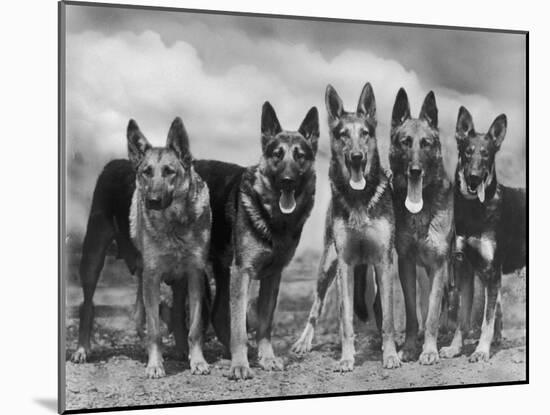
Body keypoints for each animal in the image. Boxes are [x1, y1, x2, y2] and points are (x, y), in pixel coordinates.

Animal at [221, 103, 320, 380]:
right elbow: (239, 328)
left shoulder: (273, 276)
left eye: (300, 156)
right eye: (277, 155)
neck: (274, 219)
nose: (287, 180)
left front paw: (267, 358)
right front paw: (240, 365)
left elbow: (265, 322)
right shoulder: (241, 273)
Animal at [294, 83, 402, 370]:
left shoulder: (384, 262)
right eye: (343, 135)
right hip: (326, 267)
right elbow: (345, 320)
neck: (359, 198)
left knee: (378, 307)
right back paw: (303, 341)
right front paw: (346, 358)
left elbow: (388, 317)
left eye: (365, 133)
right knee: (316, 307)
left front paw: (390, 355)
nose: (356, 157)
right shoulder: (344, 265)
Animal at [440, 109, 528, 362]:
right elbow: (462, 318)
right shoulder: (465, 268)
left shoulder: (492, 272)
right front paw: (455, 348)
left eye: (486, 155)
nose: (474, 178)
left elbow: (486, 321)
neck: (475, 211)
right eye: (468, 152)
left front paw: (481, 350)